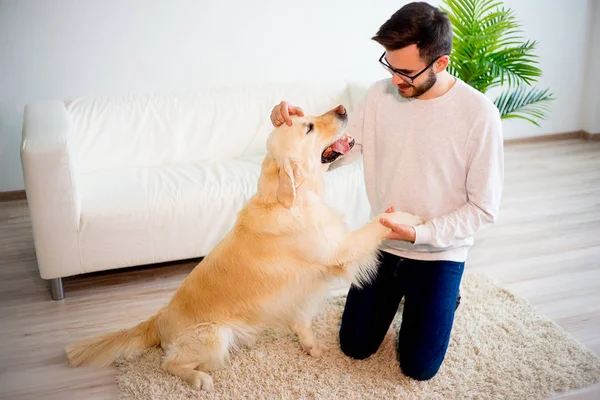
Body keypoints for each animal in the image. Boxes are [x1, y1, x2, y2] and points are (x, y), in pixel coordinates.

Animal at [65, 104, 422, 392]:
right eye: (308, 127)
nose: (343, 108)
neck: (290, 200)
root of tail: (159, 319)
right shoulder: (339, 251)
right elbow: (376, 224)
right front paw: (409, 218)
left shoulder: (301, 287)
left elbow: (302, 321)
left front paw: (312, 347)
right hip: (214, 338)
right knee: (170, 363)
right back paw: (199, 379)